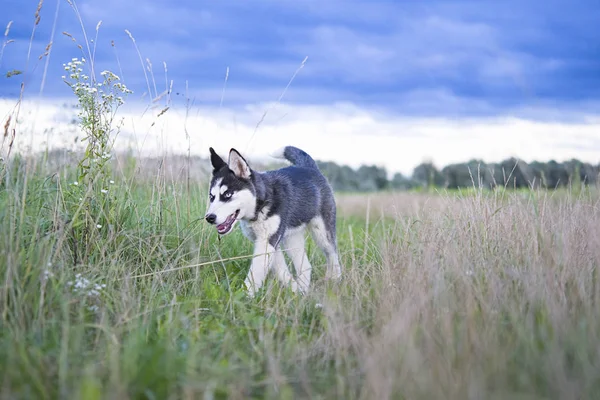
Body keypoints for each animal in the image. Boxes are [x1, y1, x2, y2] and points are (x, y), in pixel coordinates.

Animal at [204, 145, 340, 296]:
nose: (209, 218)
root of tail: (309, 167)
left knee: (333, 255)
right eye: (211, 197)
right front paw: (294, 289)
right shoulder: (267, 241)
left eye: (227, 194)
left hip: (322, 234)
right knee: (305, 266)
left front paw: (245, 296)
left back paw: (334, 280)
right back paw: (303, 293)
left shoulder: (268, 240)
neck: (261, 204)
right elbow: (281, 271)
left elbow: (255, 273)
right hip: (291, 239)